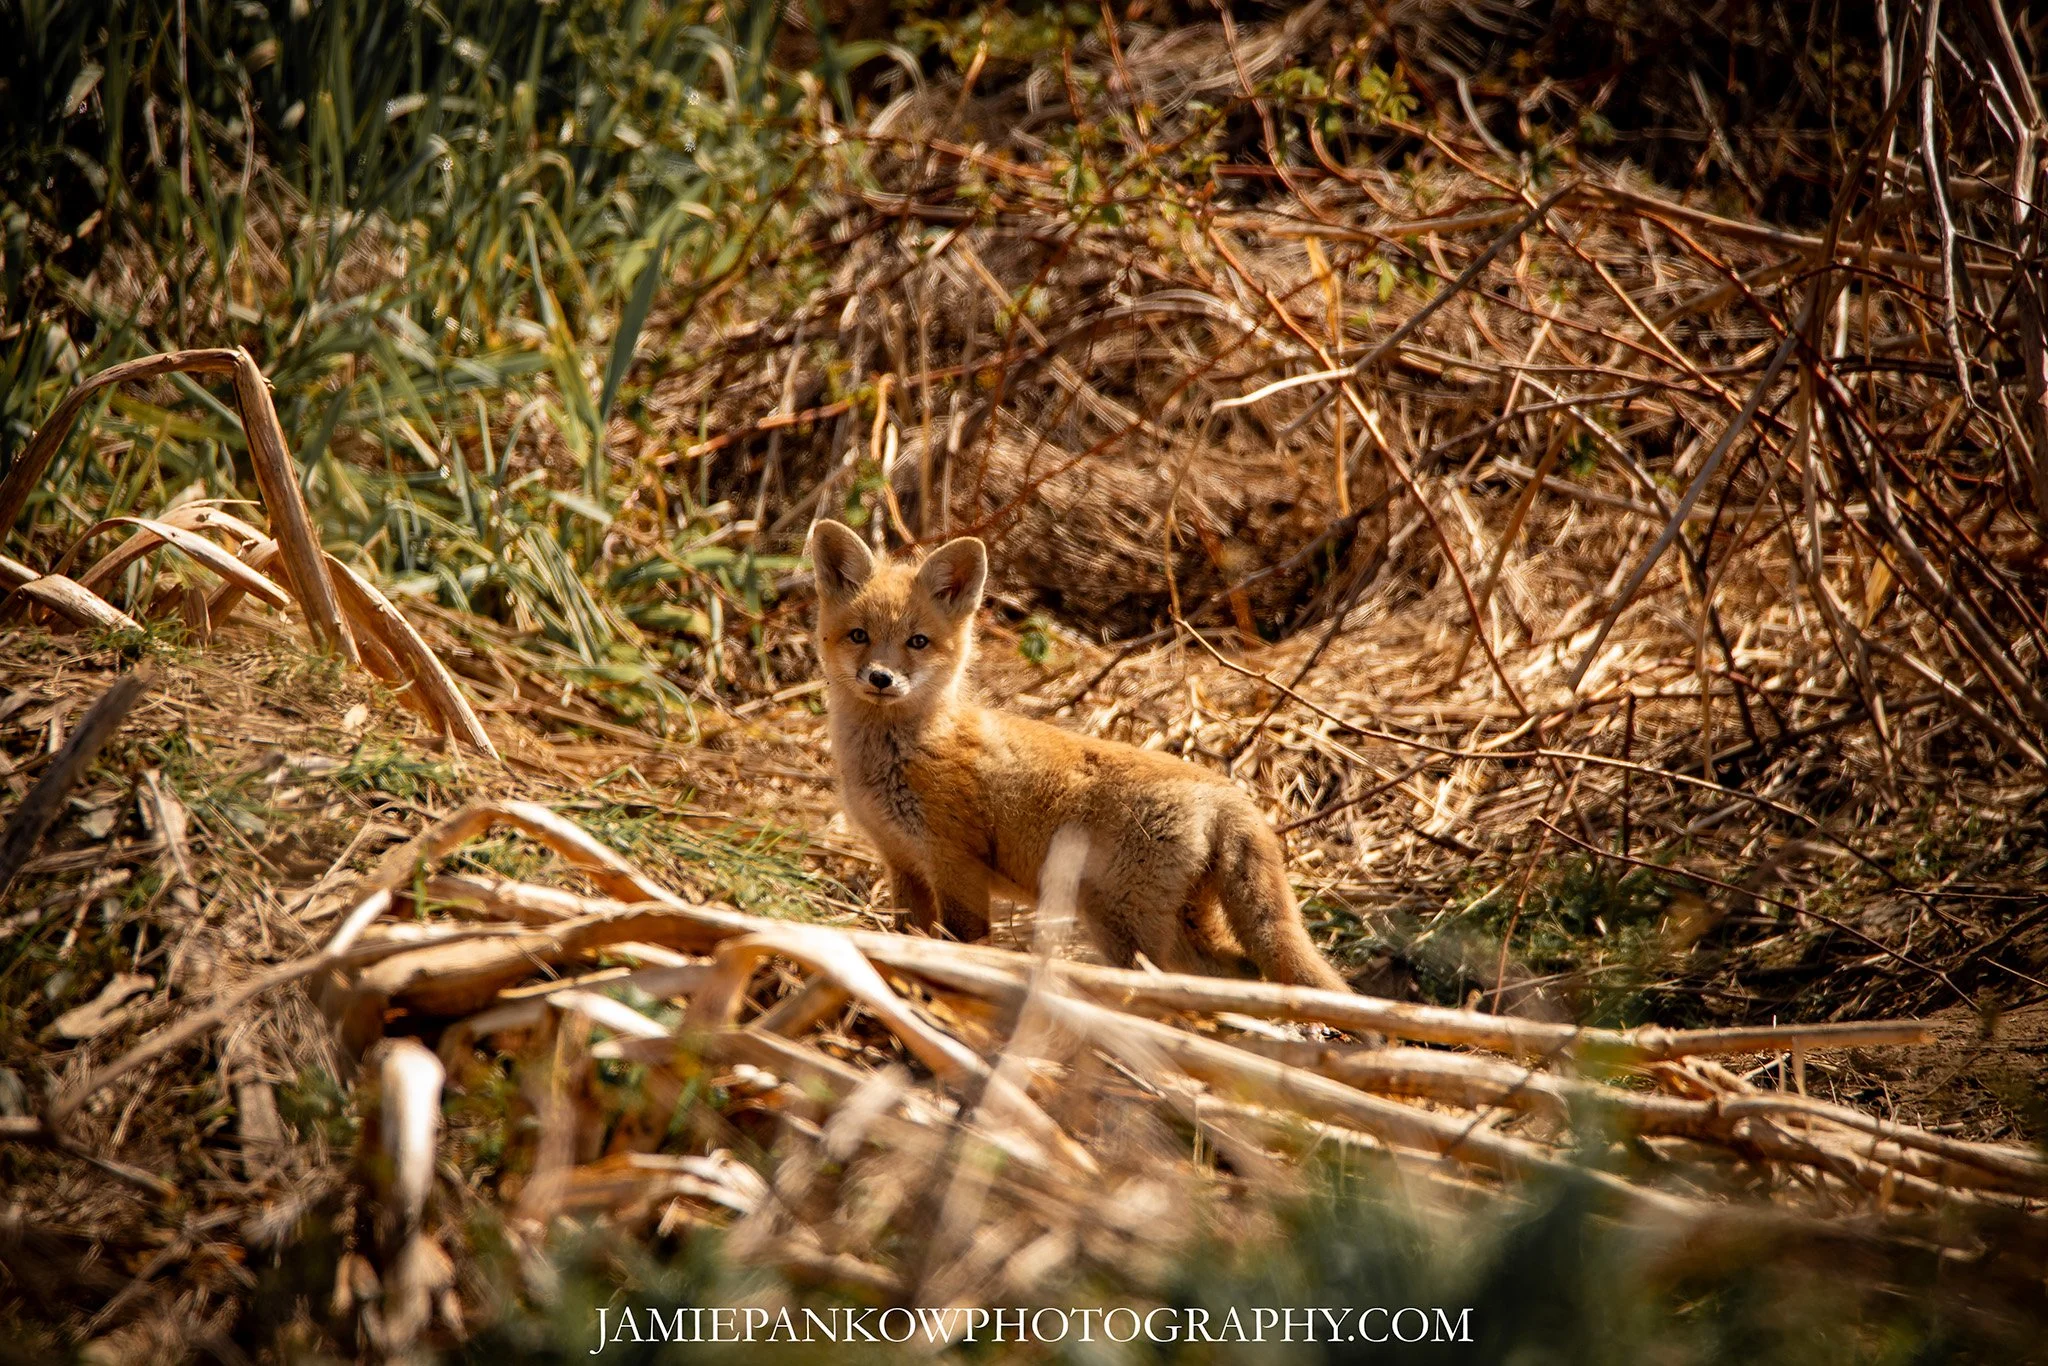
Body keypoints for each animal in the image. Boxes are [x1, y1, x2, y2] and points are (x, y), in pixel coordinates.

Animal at [806, 519, 1350, 992]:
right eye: (859, 636)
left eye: (917, 642)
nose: (881, 679)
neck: (901, 754)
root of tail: (1225, 792)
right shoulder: (904, 863)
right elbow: (908, 937)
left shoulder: (955, 864)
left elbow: (963, 942)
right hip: (1169, 923)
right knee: (1240, 970)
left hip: (1123, 924)